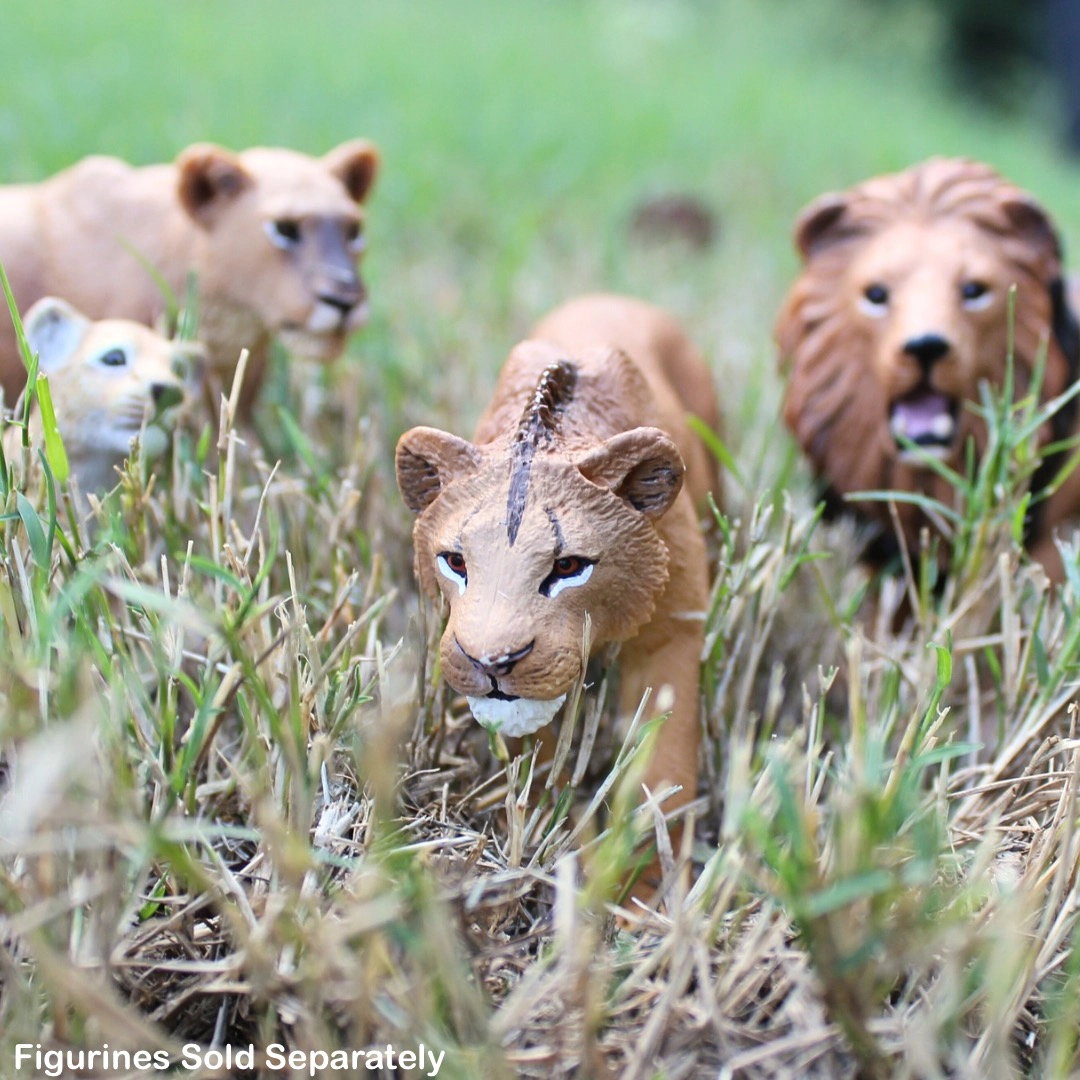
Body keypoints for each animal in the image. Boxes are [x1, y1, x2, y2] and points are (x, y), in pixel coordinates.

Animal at [396, 293, 720, 905]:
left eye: (568, 566)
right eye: (455, 562)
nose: (491, 663)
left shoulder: (674, 630)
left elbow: (661, 771)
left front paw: (648, 894)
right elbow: (544, 780)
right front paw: (581, 868)